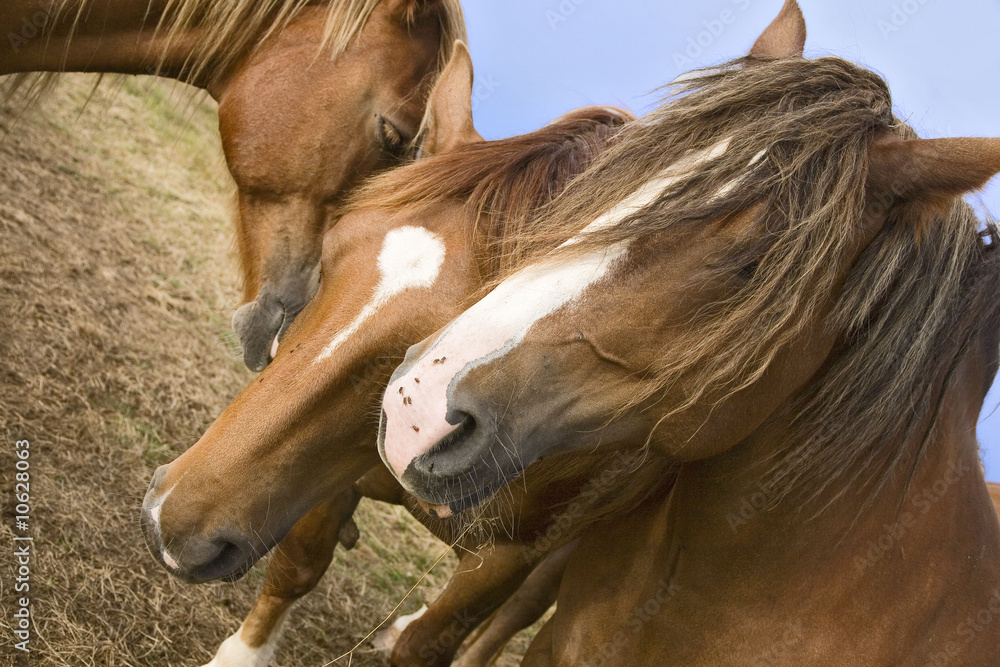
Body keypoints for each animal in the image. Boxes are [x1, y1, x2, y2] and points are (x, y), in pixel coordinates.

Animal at [140, 43, 651, 666]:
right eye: (328, 256)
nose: (169, 521)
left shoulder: (510, 556)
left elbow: (435, 640)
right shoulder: (332, 475)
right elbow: (296, 568)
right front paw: (244, 653)